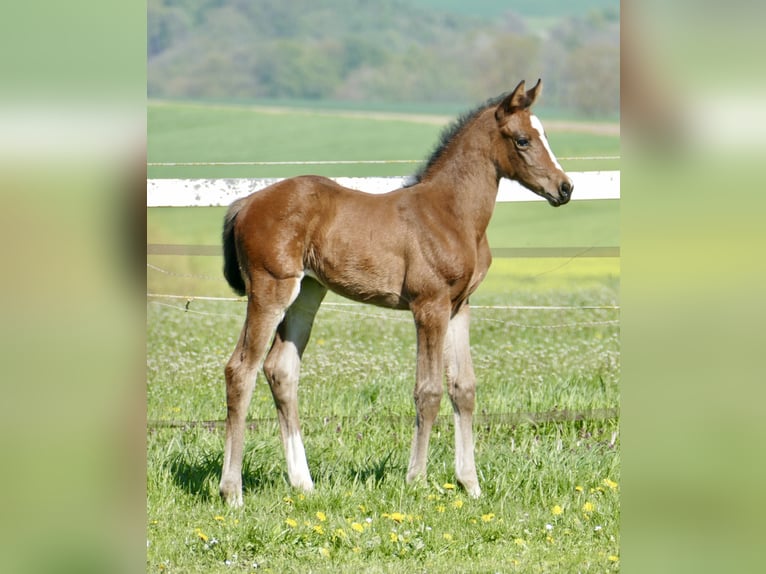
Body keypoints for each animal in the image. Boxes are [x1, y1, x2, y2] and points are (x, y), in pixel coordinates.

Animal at [218, 79, 573, 506]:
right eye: (522, 140)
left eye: (545, 135)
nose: (565, 188)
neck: (451, 213)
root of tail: (245, 202)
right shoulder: (429, 306)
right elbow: (429, 391)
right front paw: (416, 480)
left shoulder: (459, 306)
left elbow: (464, 389)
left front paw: (471, 484)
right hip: (270, 288)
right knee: (241, 370)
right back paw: (232, 492)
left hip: (307, 294)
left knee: (281, 370)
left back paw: (304, 483)